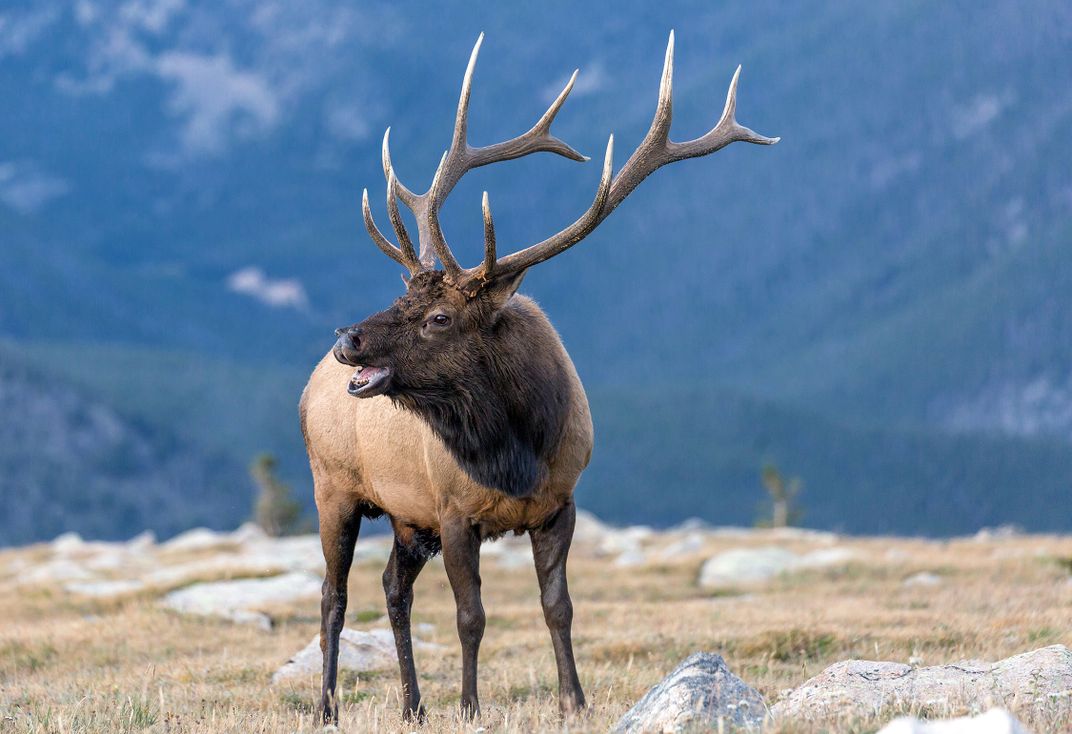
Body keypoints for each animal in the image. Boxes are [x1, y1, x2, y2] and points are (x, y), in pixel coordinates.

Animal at [299, 30, 777, 725]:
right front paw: (471, 707)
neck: (515, 451)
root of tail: (306, 391)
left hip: (405, 518)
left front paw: (573, 701)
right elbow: (471, 616)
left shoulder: (559, 502)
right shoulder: (453, 511)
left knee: (391, 588)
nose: (347, 340)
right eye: (402, 295)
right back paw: (328, 708)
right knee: (332, 595)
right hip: (333, 486)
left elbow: (559, 608)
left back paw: (414, 707)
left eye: (439, 316)